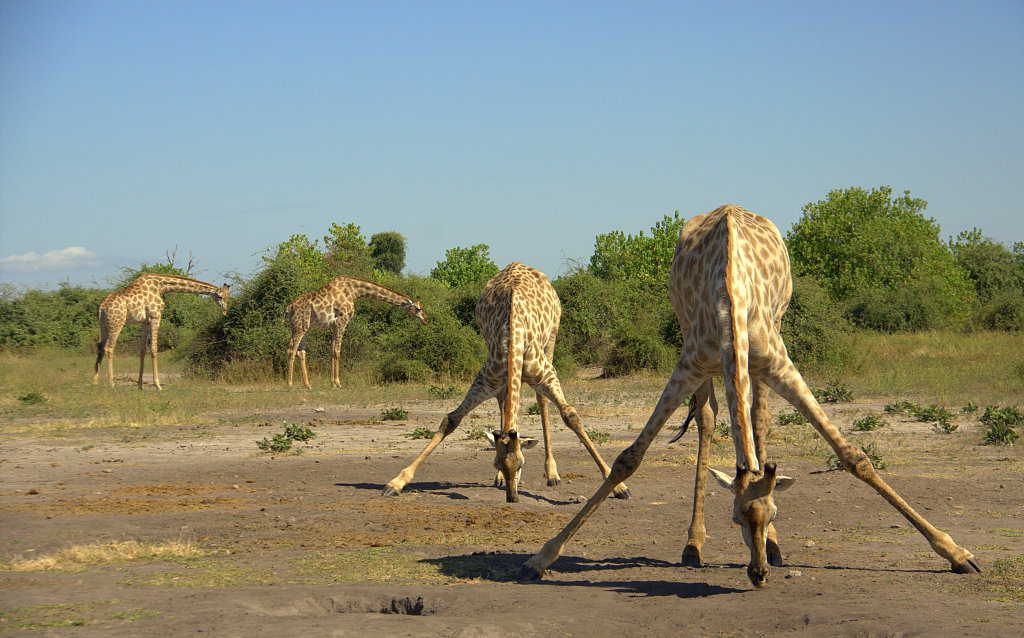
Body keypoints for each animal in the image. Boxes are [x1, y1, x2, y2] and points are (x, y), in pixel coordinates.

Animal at [93, 272, 228, 389]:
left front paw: (140, 386)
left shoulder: (145, 322)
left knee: (100, 347)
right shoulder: (155, 317)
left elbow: (142, 350)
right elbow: (153, 349)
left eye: (227, 297)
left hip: (103, 325)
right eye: (220, 296)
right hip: (117, 323)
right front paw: (158, 385)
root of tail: (102, 307)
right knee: (109, 348)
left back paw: (95, 382)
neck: (160, 286)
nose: (225, 311)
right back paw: (111, 384)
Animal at [284, 276, 428, 387]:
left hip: (303, 327)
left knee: (300, 352)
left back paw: (307, 385)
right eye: (419, 308)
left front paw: (332, 382)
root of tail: (288, 308)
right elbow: (337, 351)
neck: (354, 291)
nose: (426, 320)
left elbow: (332, 351)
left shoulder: (334, 325)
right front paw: (337, 382)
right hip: (299, 327)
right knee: (292, 350)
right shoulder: (342, 321)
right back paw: (290, 384)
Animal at [380, 262, 626, 501]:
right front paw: (396, 482)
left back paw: (552, 474)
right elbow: (451, 419)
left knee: (542, 400)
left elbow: (571, 416)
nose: (512, 497)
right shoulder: (486, 380)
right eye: (496, 463)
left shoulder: (547, 375)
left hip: (552, 338)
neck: (513, 340)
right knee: (503, 402)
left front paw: (618, 486)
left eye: (522, 464)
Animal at [524, 205, 978, 589]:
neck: (732, 296)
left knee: (758, 416)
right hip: (696, 345)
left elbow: (854, 457)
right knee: (708, 420)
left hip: (768, 345)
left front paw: (957, 553)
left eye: (773, 513)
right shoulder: (690, 363)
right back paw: (694, 545)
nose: (758, 573)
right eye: (735, 518)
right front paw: (542, 557)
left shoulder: (779, 363)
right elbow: (627, 460)